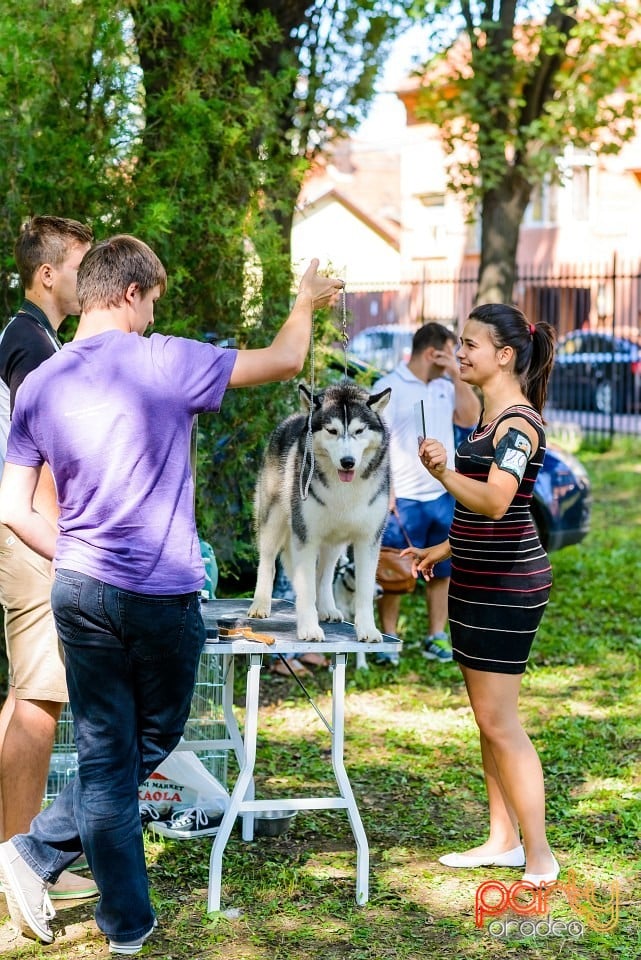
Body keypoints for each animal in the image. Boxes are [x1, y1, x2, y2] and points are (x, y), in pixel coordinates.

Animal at [249, 378, 390, 640]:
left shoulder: (368, 539)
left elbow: (364, 591)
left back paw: (326, 608)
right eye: (331, 431)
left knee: (324, 575)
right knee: (268, 561)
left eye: (359, 431)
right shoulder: (305, 536)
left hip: (334, 542)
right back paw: (261, 604)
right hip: (273, 519)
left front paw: (367, 629)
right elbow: (305, 589)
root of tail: (292, 418)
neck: (344, 489)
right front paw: (309, 628)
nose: (348, 462)